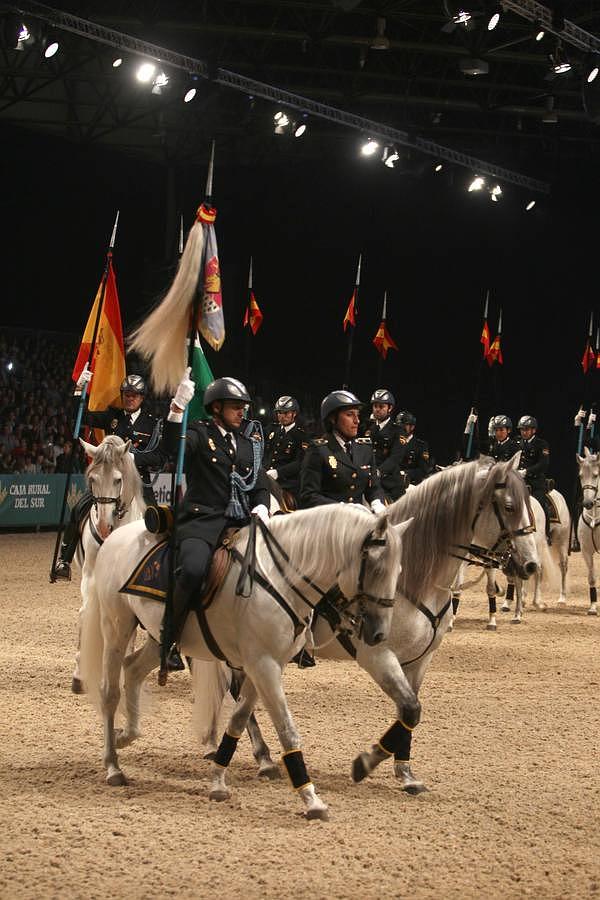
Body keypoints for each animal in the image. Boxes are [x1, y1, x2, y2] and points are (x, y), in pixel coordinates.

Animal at [70, 440, 144, 692]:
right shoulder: (90, 576)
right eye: (92, 479)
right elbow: (85, 614)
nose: (103, 526)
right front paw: (79, 675)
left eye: (118, 480)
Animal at [78, 502, 408, 820]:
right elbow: (287, 731)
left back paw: (126, 736)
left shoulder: (262, 665)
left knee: (133, 670)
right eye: (376, 568)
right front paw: (311, 799)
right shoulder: (264, 665)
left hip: (158, 637)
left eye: (399, 570)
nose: (379, 634)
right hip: (117, 627)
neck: (280, 579)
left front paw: (218, 781)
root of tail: (115, 538)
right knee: (110, 692)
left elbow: (237, 719)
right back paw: (113, 765)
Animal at [197, 454, 540, 792]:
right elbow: (410, 709)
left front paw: (406, 772)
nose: (530, 565)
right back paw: (264, 759)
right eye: (510, 506)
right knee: (237, 691)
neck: (411, 578)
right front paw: (365, 763)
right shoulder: (377, 655)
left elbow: (409, 713)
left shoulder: (420, 661)